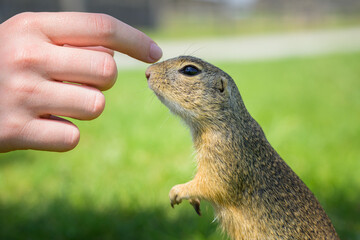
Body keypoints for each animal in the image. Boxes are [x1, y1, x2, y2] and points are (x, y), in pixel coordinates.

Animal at [145, 56, 338, 240]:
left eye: (190, 70)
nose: (147, 72)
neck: (231, 122)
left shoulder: (225, 156)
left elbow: (212, 184)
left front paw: (177, 191)